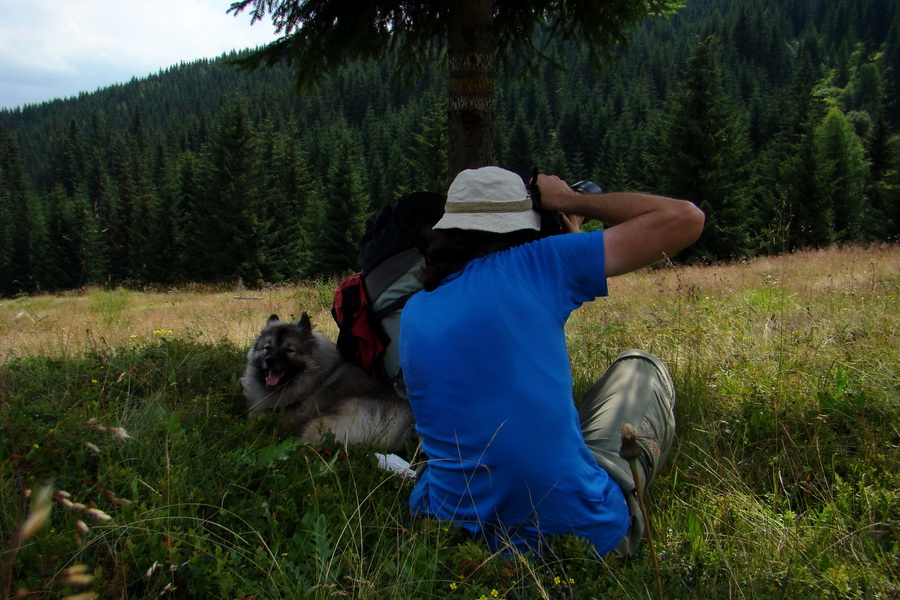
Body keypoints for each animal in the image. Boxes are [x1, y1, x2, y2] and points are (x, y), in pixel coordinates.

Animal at [239, 314, 414, 450]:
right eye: (267, 348)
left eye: (290, 350)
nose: (270, 360)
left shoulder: (293, 414)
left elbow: (257, 415)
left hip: (321, 423)